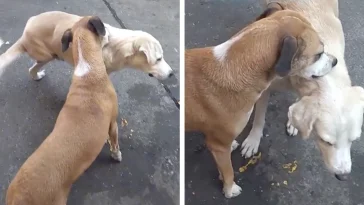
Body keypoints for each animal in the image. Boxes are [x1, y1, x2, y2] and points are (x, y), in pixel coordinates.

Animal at [185, 9, 338, 199]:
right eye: (318, 54)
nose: (335, 61)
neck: (234, 66)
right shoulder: (218, 145)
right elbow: (228, 171)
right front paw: (230, 189)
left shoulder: (218, 144)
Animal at [242, 0, 364, 179]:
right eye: (326, 142)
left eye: (353, 140)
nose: (343, 176)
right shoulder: (264, 87)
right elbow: (259, 118)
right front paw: (253, 140)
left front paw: (293, 123)